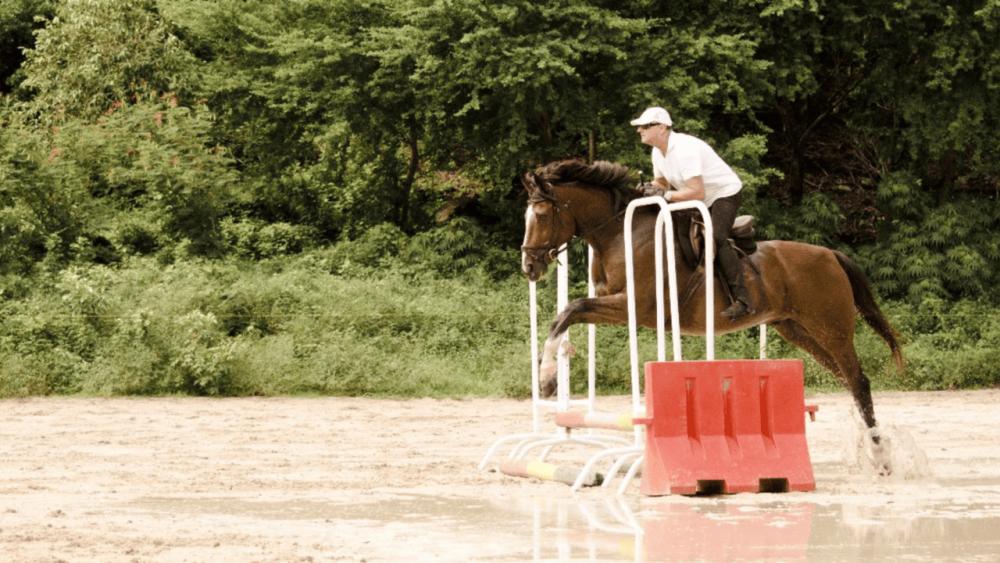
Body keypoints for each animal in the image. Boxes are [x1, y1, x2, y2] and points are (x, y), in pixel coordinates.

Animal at [520, 159, 904, 474]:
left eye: (541, 215)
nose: (529, 266)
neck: (620, 235)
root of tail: (831, 254)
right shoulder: (614, 306)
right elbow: (567, 316)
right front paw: (550, 375)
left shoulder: (633, 306)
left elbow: (570, 310)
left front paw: (546, 377)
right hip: (798, 331)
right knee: (848, 380)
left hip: (831, 329)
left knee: (859, 381)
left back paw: (881, 455)